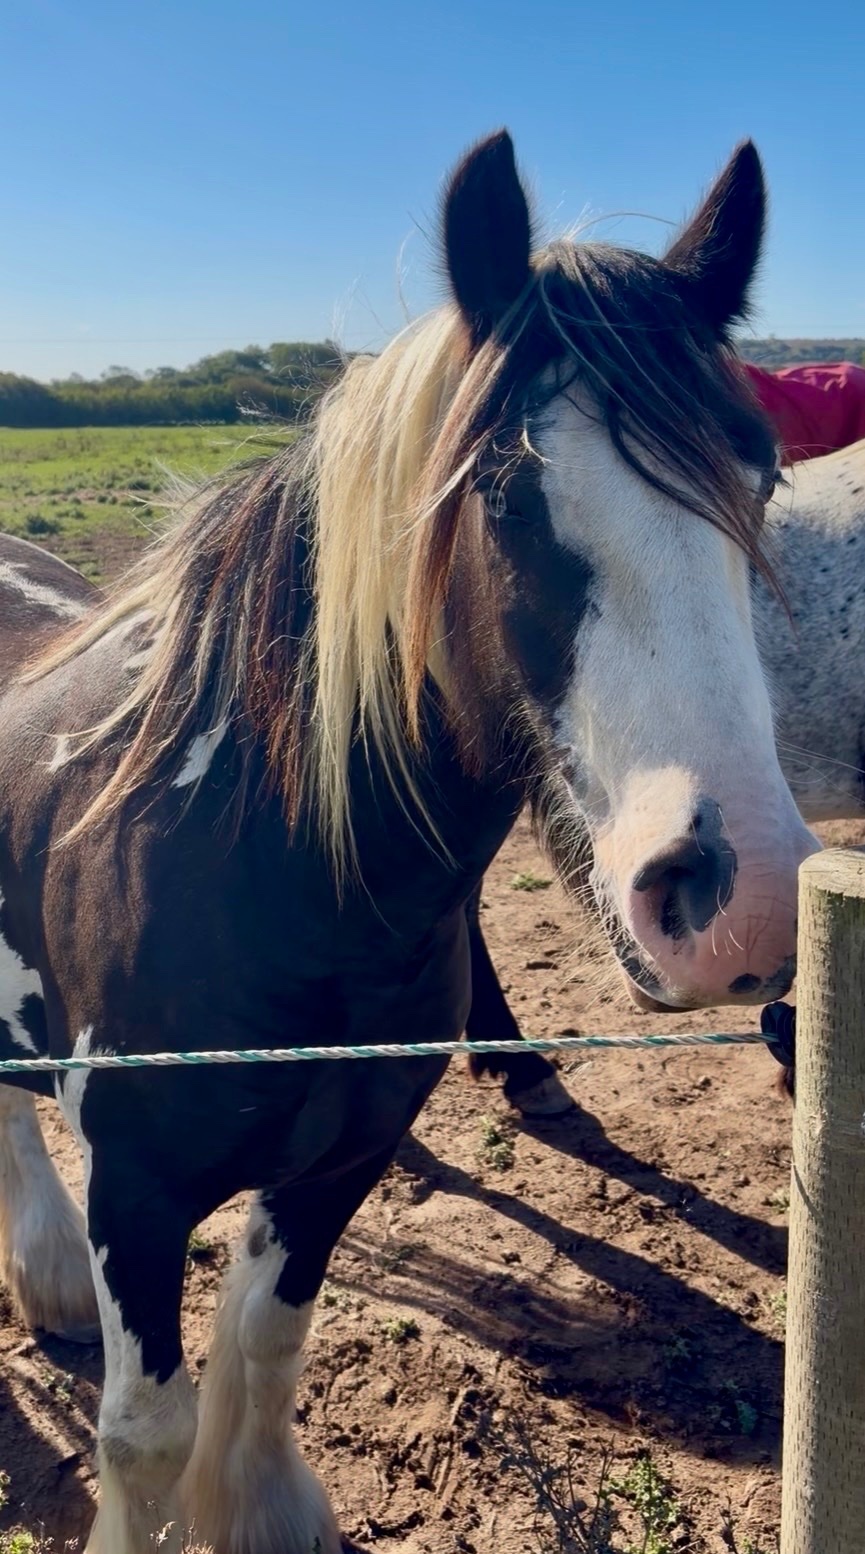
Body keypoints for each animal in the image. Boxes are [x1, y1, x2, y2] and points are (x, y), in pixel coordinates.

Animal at [0, 131, 816, 1553]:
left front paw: (265, 1511)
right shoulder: (136, 1195)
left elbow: (267, 1347)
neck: (275, 887)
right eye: (501, 487)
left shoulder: (345, 1155)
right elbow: (142, 1432)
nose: (740, 903)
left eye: (758, 469)